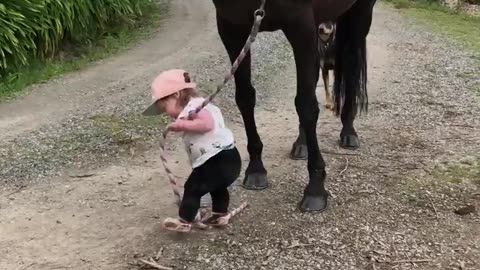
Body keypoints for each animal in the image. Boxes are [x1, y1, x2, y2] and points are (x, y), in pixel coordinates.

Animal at [212, 0, 376, 213]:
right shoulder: (232, 27)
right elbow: (245, 98)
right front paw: (256, 169)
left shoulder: (300, 25)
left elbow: (306, 105)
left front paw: (315, 188)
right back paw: (302, 143)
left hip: (360, 14)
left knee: (351, 64)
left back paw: (348, 132)